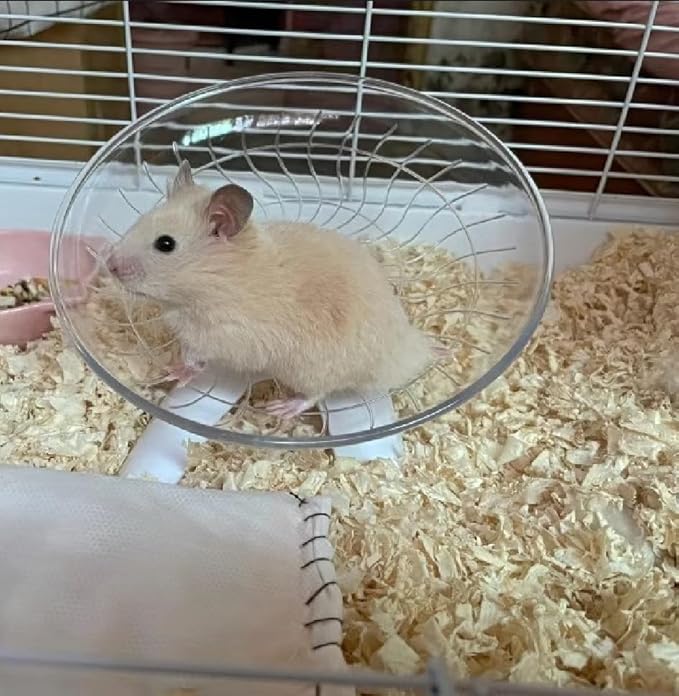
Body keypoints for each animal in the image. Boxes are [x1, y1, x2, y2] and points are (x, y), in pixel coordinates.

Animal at [105, 160, 440, 419]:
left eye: (165, 244)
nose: (109, 264)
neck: (218, 281)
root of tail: (408, 349)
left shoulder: (222, 336)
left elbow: (195, 360)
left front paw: (175, 373)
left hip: (313, 369)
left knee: (316, 393)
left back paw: (281, 409)